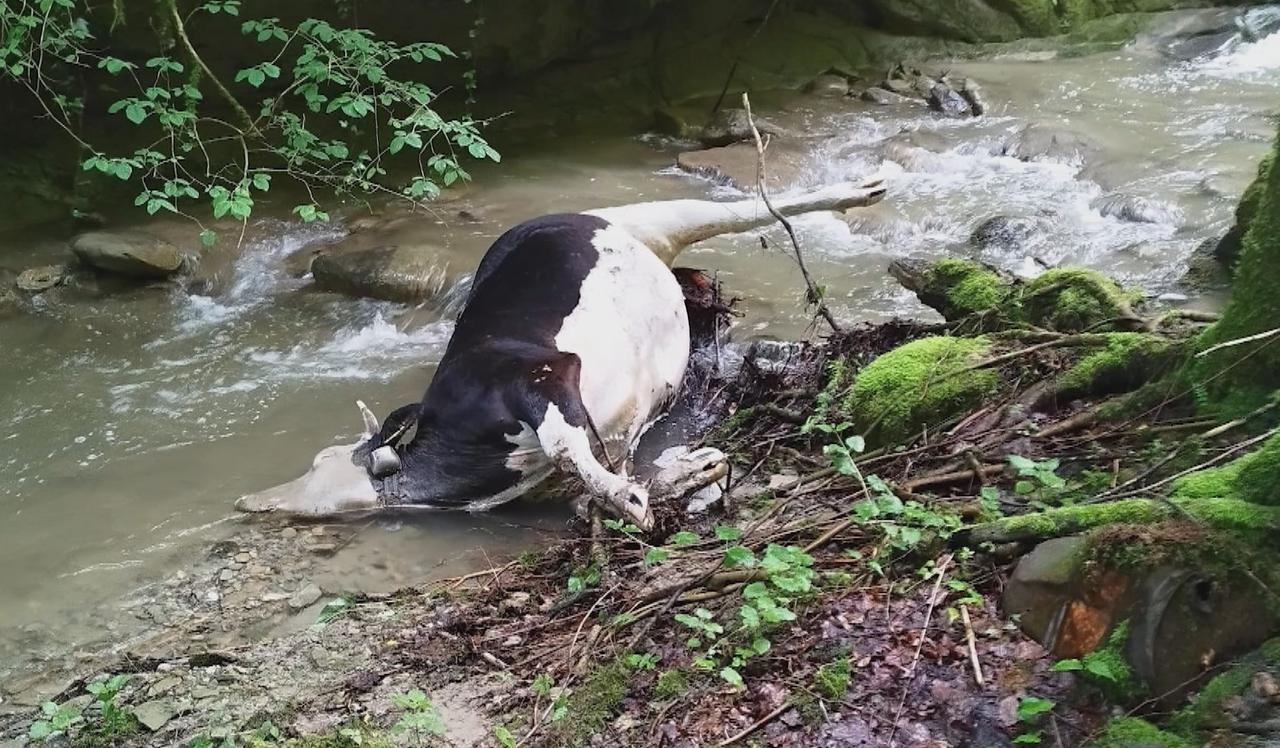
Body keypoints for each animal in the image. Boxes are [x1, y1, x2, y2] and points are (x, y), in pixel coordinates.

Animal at [235, 178, 885, 527]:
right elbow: (611, 467)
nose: (246, 501)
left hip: (650, 216)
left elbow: (570, 449)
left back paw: (865, 189)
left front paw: (631, 499)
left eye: (321, 461)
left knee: (740, 208)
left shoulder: (537, 374)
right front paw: (689, 470)